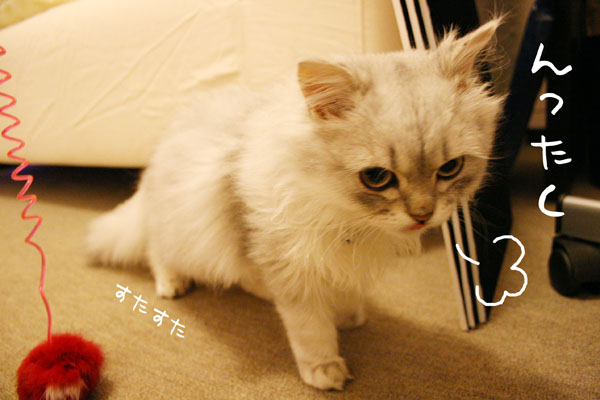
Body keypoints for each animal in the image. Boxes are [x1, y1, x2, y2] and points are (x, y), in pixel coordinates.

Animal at [86, 18, 504, 390]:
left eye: (450, 168)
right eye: (377, 177)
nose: (423, 214)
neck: (347, 216)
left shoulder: (326, 256)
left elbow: (343, 291)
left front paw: (348, 314)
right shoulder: (287, 262)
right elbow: (310, 329)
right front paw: (324, 369)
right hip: (181, 230)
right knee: (158, 254)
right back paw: (172, 284)